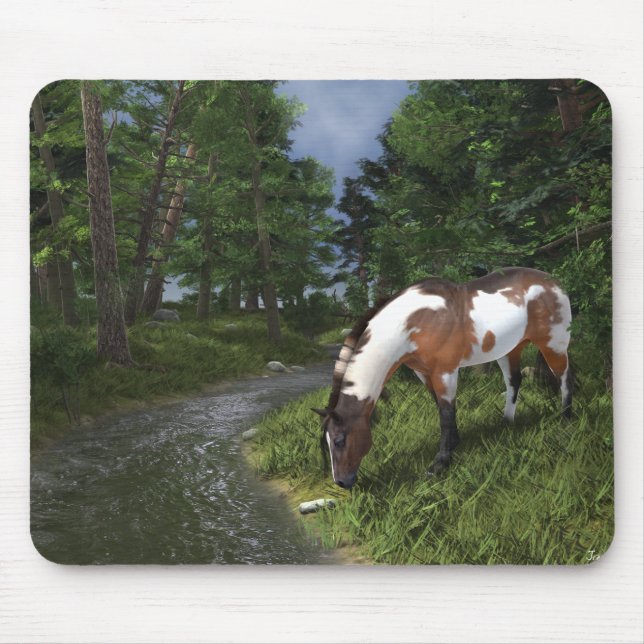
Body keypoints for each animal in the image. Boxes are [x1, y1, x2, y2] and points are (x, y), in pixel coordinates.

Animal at [312, 267, 573, 490]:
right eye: (327, 441)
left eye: (339, 440)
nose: (341, 483)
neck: (414, 321)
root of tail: (553, 282)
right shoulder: (423, 373)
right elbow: (440, 406)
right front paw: (454, 444)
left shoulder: (445, 371)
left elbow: (446, 414)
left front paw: (440, 464)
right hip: (510, 350)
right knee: (514, 381)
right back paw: (507, 422)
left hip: (553, 343)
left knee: (564, 376)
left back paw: (566, 418)